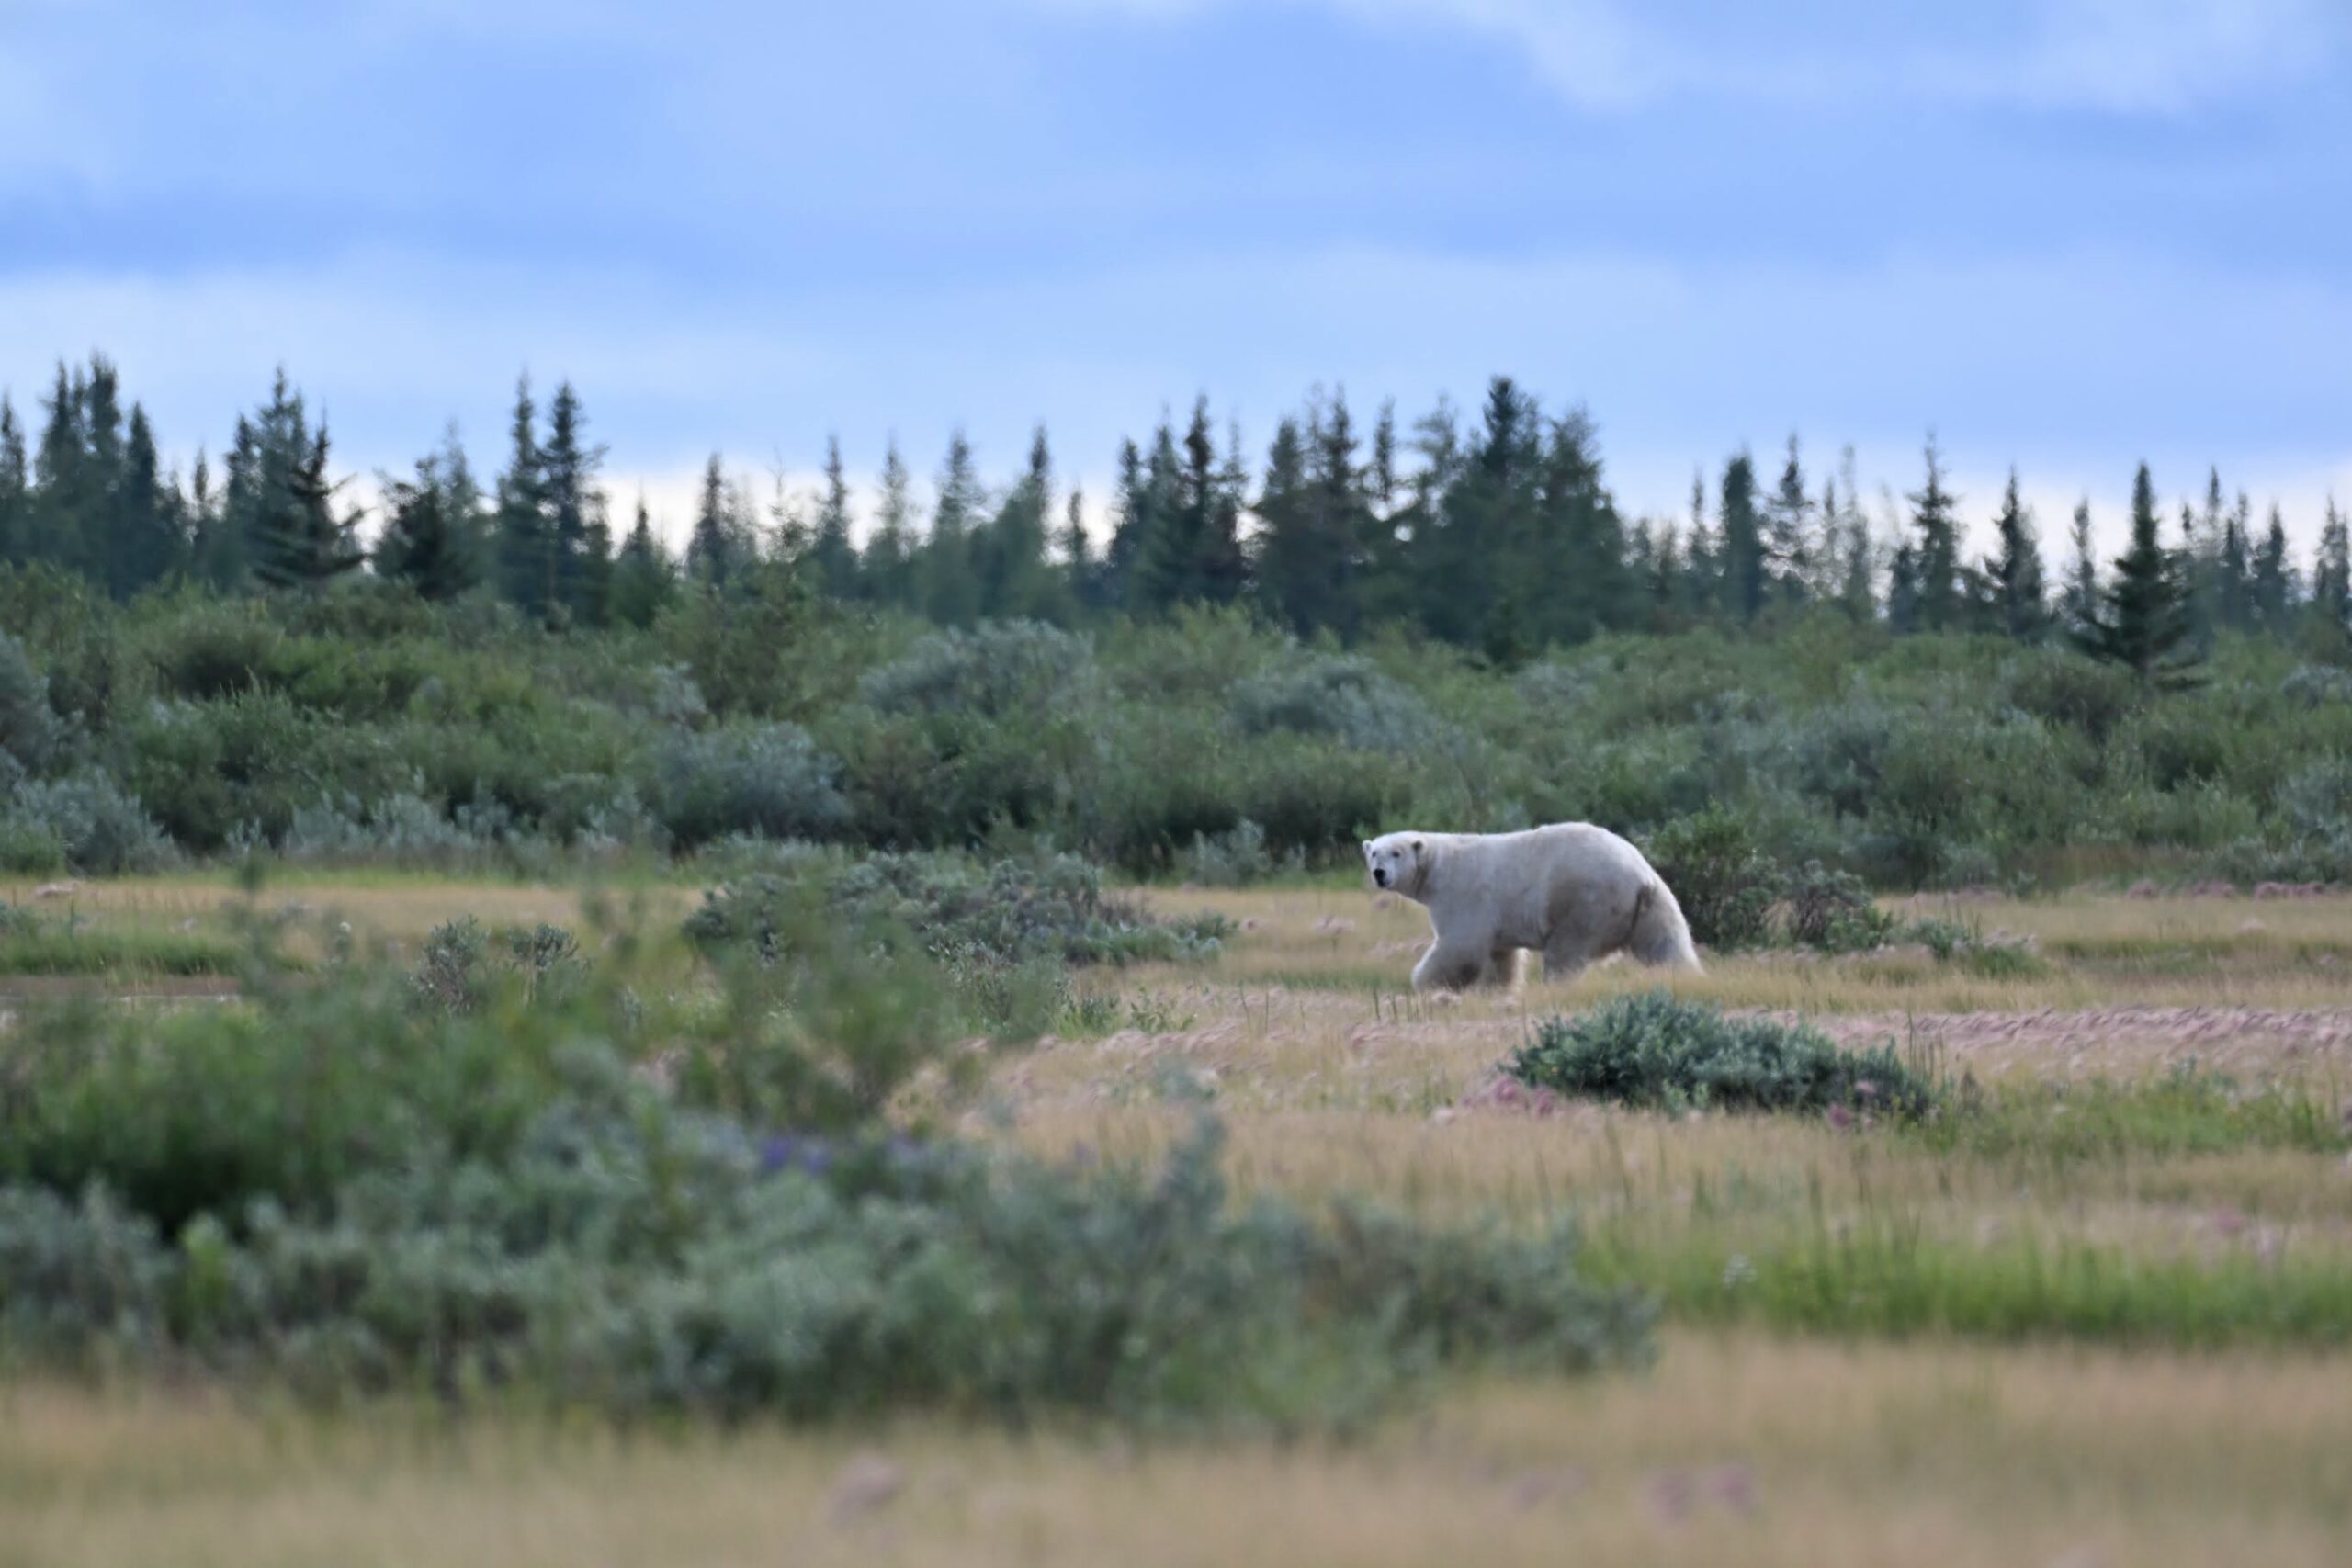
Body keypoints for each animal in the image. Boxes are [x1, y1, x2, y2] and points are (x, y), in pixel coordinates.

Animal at [1362, 823, 1702, 991]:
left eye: (1396, 853)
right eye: (1374, 852)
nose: (1379, 874)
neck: (1439, 867)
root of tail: (1639, 873)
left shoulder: (1464, 896)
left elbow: (1460, 947)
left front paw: (1423, 984)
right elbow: (1501, 957)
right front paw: (1497, 990)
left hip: (1583, 900)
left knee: (1565, 952)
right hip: (1652, 906)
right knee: (1666, 945)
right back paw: (1686, 978)